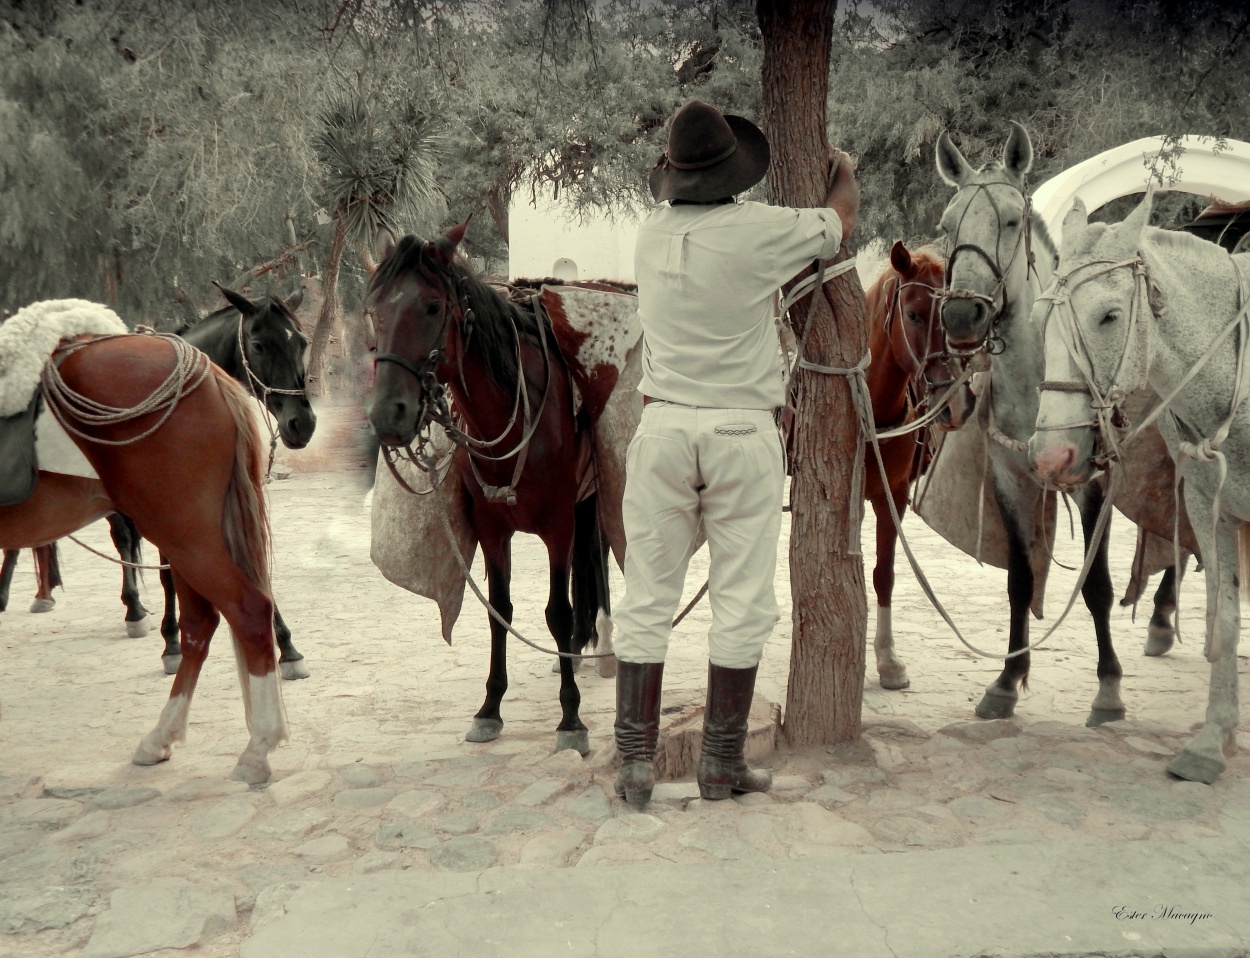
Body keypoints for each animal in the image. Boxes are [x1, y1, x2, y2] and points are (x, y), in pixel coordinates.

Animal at [0, 325, 283, 785]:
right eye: (259, 344)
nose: (301, 422)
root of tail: (208, 373)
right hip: (186, 534)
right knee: (200, 624)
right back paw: (161, 736)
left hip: (185, 532)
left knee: (249, 610)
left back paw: (257, 748)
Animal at [365, 221, 610, 755]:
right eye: (374, 310)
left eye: (433, 306)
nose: (387, 414)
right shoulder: (492, 528)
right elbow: (501, 610)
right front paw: (490, 708)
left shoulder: (558, 525)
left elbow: (556, 612)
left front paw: (571, 719)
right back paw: (581, 646)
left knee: (598, 561)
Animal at [1030, 191, 1245, 785]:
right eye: (1040, 318)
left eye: (1109, 315)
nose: (1052, 456)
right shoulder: (1210, 505)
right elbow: (1224, 619)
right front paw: (1212, 741)